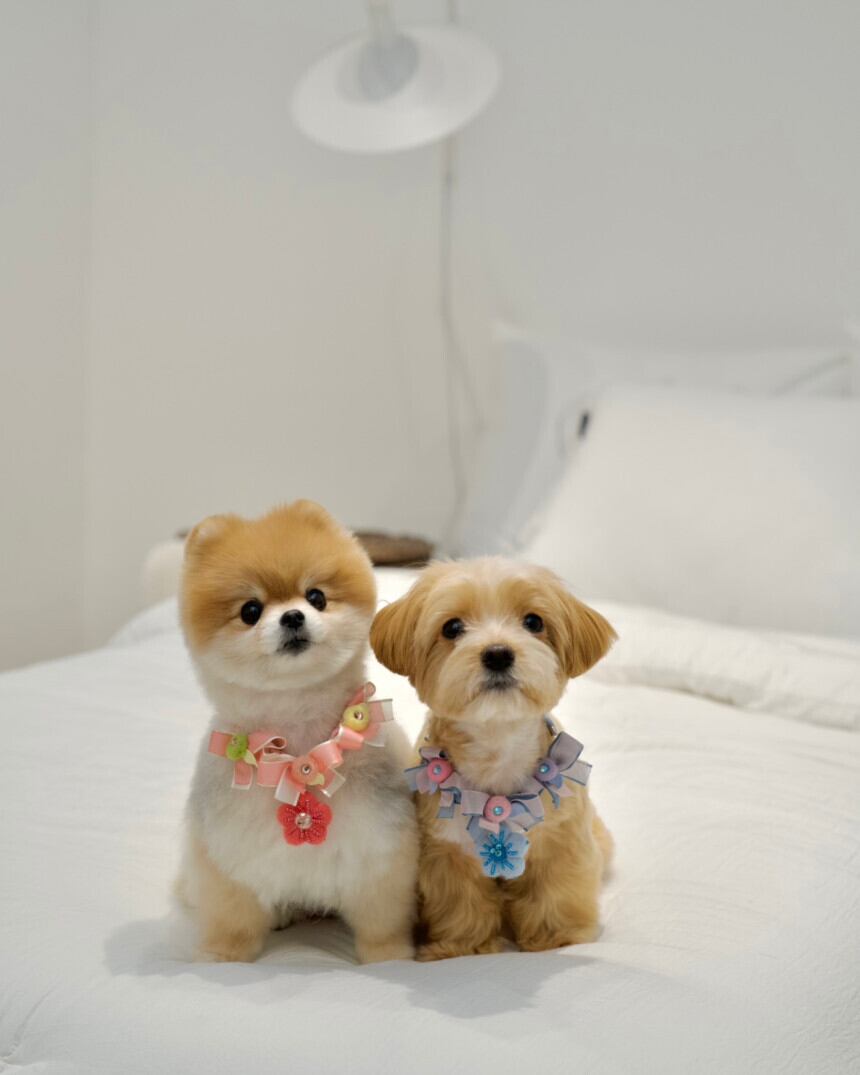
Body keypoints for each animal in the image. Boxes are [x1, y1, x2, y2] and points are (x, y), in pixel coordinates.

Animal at [177, 500, 418, 963]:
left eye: (316, 597)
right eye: (250, 611)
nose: (292, 615)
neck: (302, 744)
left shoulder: (380, 850)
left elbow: (381, 920)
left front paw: (390, 957)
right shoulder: (227, 850)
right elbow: (232, 917)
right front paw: (223, 957)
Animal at [370, 557, 615, 961]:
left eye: (533, 622)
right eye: (452, 627)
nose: (498, 653)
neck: (497, 748)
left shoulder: (561, 843)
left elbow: (554, 893)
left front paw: (557, 938)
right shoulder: (448, 853)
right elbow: (462, 905)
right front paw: (462, 947)